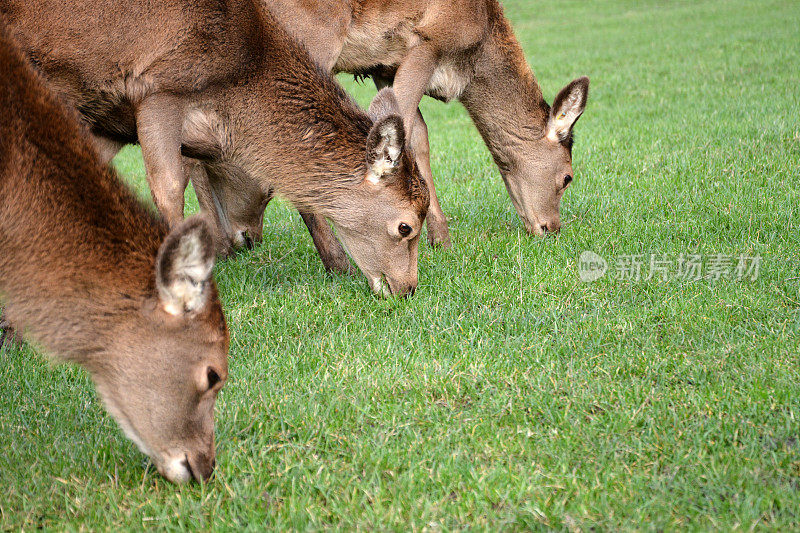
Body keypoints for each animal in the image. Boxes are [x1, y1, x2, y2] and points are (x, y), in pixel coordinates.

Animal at [266, 0, 592, 247]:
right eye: (568, 177)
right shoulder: (430, 40)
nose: (552, 227)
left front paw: (441, 240)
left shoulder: (383, 67)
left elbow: (417, 138)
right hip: (314, 33)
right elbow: (400, 126)